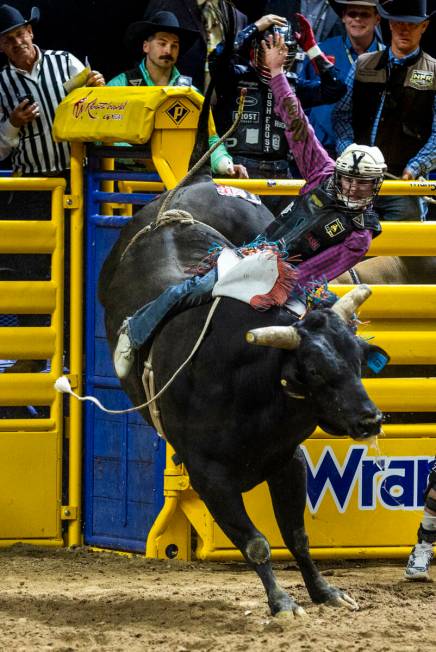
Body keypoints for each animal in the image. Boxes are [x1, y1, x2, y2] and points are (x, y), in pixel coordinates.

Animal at [99, 174, 384, 616]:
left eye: (358, 360)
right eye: (314, 370)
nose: (370, 419)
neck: (250, 391)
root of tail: (191, 186)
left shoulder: (287, 460)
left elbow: (296, 535)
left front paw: (324, 591)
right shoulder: (208, 478)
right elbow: (256, 544)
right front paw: (282, 603)